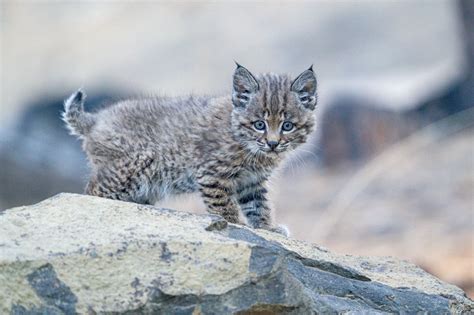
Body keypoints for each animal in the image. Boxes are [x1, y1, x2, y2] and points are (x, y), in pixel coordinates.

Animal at [62, 65, 314, 237]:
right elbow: (224, 205)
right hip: (126, 172)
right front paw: (236, 224)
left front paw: (267, 227)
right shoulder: (212, 175)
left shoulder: (251, 182)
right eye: (259, 124)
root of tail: (96, 120)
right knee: (91, 192)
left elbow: (259, 205)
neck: (254, 151)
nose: (273, 143)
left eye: (287, 126)